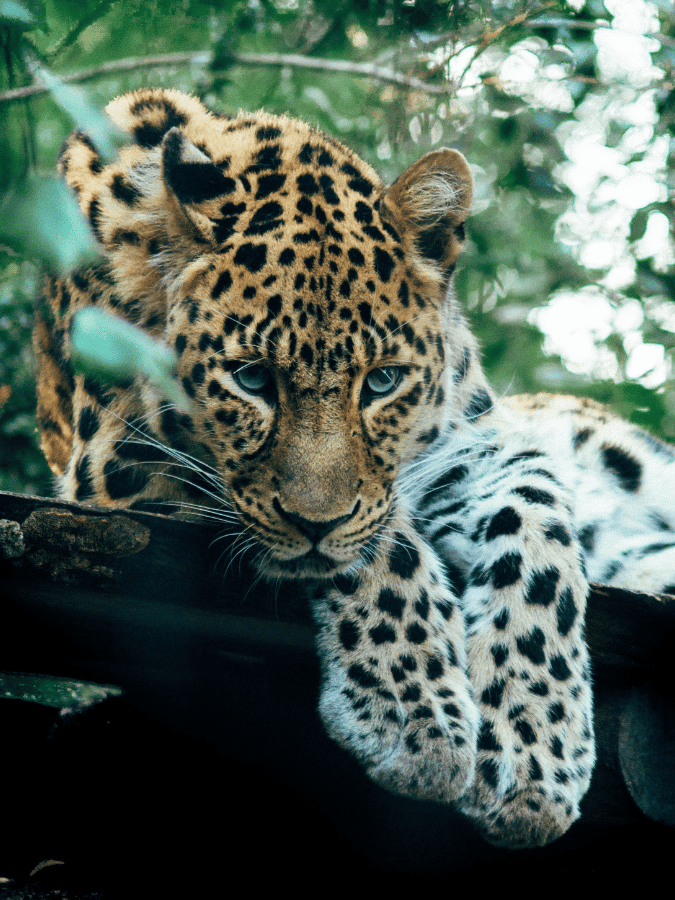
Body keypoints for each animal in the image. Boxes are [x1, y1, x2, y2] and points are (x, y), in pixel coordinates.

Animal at [32, 87, 675, 849]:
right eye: (251, 379)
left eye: (382, 381)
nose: (316, 522)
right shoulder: (117, 465)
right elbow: (382, 540)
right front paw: (416, 716)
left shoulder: (475, 443)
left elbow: (538, 530)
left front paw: (532, 748)